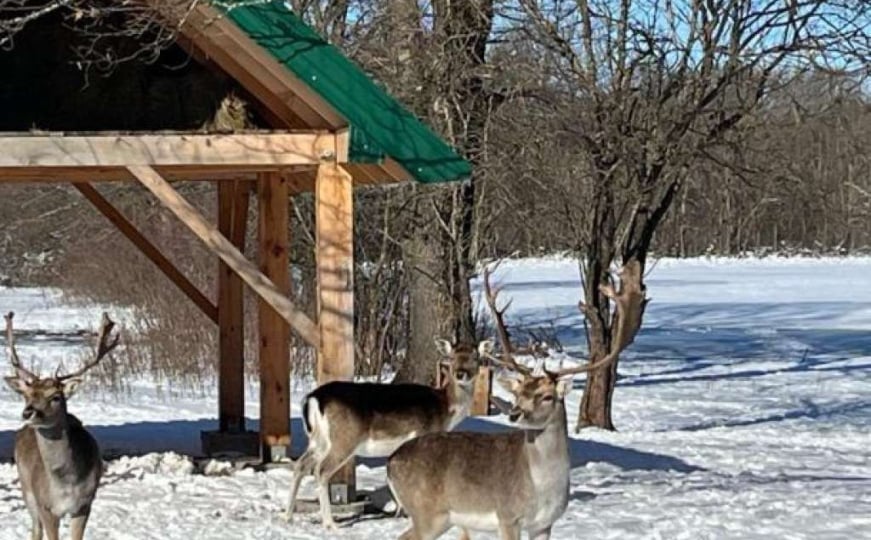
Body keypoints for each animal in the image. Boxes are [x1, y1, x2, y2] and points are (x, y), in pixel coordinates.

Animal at [3, 311, 119, 540]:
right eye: (27, 395)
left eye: (56, 396)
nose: (28, 412)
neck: (67, 485)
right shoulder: (46, 506)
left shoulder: (85, 504)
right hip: (26, 488)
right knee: (35, 529)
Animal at [285, 337, 494, 531]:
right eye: (452, 357)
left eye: (475, 357)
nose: (460, 374)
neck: (446, 410)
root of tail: (313, 399)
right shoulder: (425, 433)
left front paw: (400, 511)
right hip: (343, 439)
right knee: (321, 471)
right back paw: (329, 524)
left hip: (318, 440)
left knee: (300, 465)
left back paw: (288, 516)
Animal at [385, 266, 642, 540]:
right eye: (518, 394)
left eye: (547, 396)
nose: (514, 414)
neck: (542, 490)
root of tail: (391, 463)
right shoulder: (507, 515)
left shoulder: (544, 524)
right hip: (428, 513)